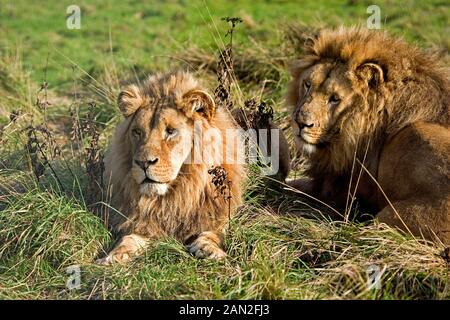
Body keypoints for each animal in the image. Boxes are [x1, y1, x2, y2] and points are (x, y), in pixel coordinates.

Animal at [96, 71, 244, 264]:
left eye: (171, 131)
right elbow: (128, 238)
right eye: (137, 132)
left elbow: (213, 233)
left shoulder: (221, 214)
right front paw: (113, 256)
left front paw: (209, 250)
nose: (143, 163)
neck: (176, 195)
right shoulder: (142, 223)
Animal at [288, 26, 450, 245]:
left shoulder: (339, 187)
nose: (300, 123)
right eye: (307, 85)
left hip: (392, 217)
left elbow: (289, 184)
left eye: (335, 99)